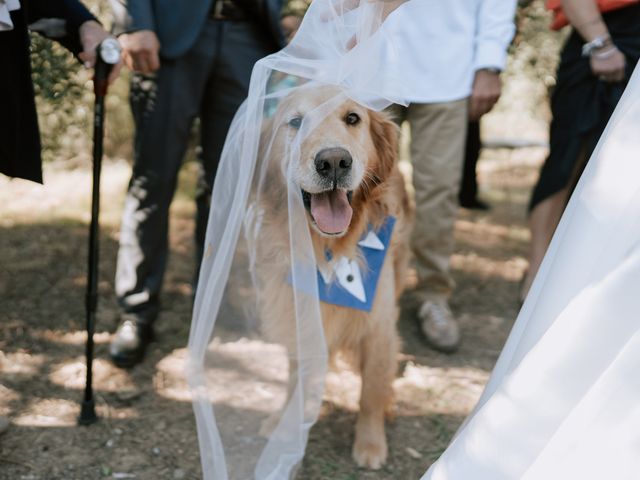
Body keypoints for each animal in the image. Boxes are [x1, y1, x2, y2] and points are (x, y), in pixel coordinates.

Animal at [250, 85, 410, 468]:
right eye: (295, 122)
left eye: (353, 118)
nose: (334, 161)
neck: (329, 252)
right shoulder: (296, 313)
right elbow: (294, 377)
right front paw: (285, 420)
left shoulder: (379, 325)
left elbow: (371, 390)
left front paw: (370, 442)